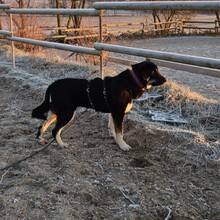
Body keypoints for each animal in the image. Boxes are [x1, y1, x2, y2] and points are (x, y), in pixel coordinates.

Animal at [31, 59, 165, 150]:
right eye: (154, 72)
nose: (165, 80)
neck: (128, 83)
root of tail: (53, 84)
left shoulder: (113, 113)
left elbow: (113, 128)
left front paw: (114, 138)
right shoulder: (119, 113)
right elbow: (120, 132)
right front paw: (123, 145)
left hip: (58, 112)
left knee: (43, 125)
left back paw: (40, 139)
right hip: (67, 113)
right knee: (55, 130)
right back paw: (62, 144)